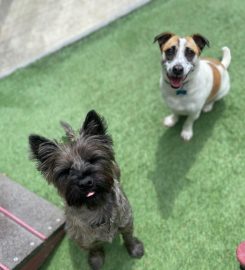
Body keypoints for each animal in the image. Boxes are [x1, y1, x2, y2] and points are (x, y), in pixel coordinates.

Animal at [28, 110, 144, 270]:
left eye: (93, 159)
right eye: (65, 171)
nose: (85, 182)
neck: (97, 209)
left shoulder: (127, 222)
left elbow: (128, 237)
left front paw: (134, 248)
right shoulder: (82, 240)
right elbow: (94, 248)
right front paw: (96, 260)